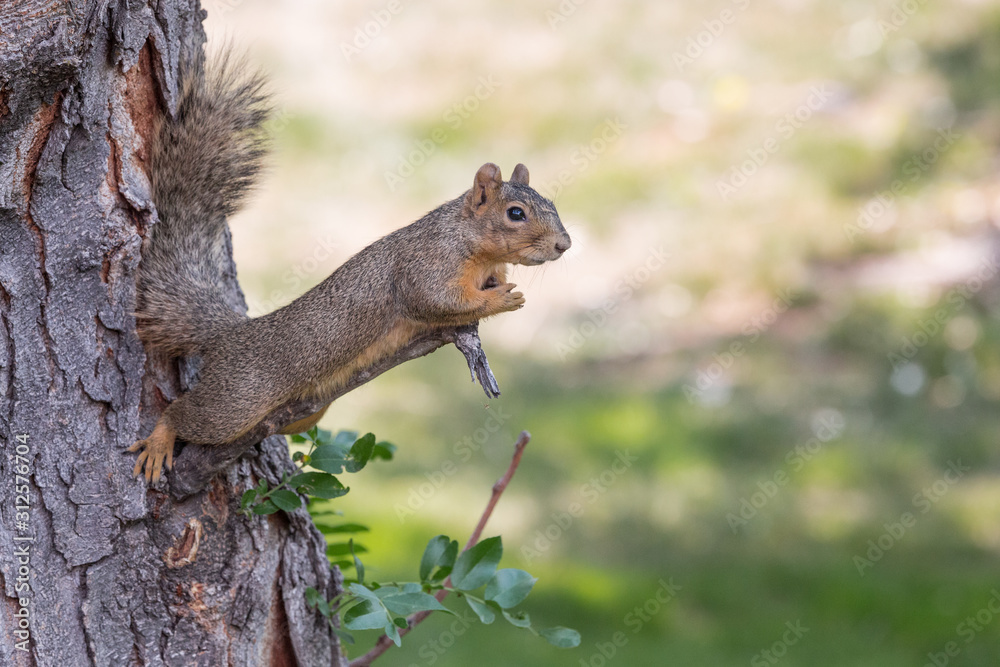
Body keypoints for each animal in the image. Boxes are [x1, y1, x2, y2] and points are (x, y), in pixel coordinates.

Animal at [129, 54, 572, 482]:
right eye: (515, 213)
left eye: (551, 203)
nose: (564, 245)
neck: (477, 249)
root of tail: (228, 336)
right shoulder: (426, 263)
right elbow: (434, 301)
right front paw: (502, 299)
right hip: (236, 399)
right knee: (187, 415)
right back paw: (160, 440)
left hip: (304, 411)